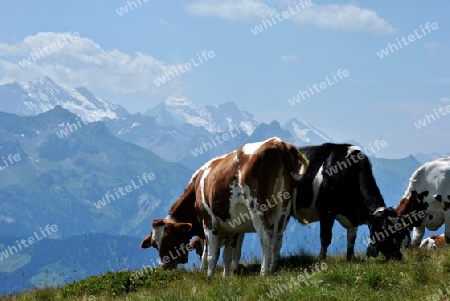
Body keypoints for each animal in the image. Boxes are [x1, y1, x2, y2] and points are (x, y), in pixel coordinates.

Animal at [141, 137, 310, 276]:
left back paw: (264, 272)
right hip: (283, 207)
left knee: (266, 236)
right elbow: (227, 254)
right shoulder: (231, 226)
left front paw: (209, 276)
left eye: (169, 239)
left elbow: (211, 254)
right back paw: (273, 268)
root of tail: (276, 142)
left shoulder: (209, 222)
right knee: (278, 237)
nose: (164, 266)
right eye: (154, 245)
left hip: (257, 207)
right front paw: (226, 276)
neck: (197, 186)